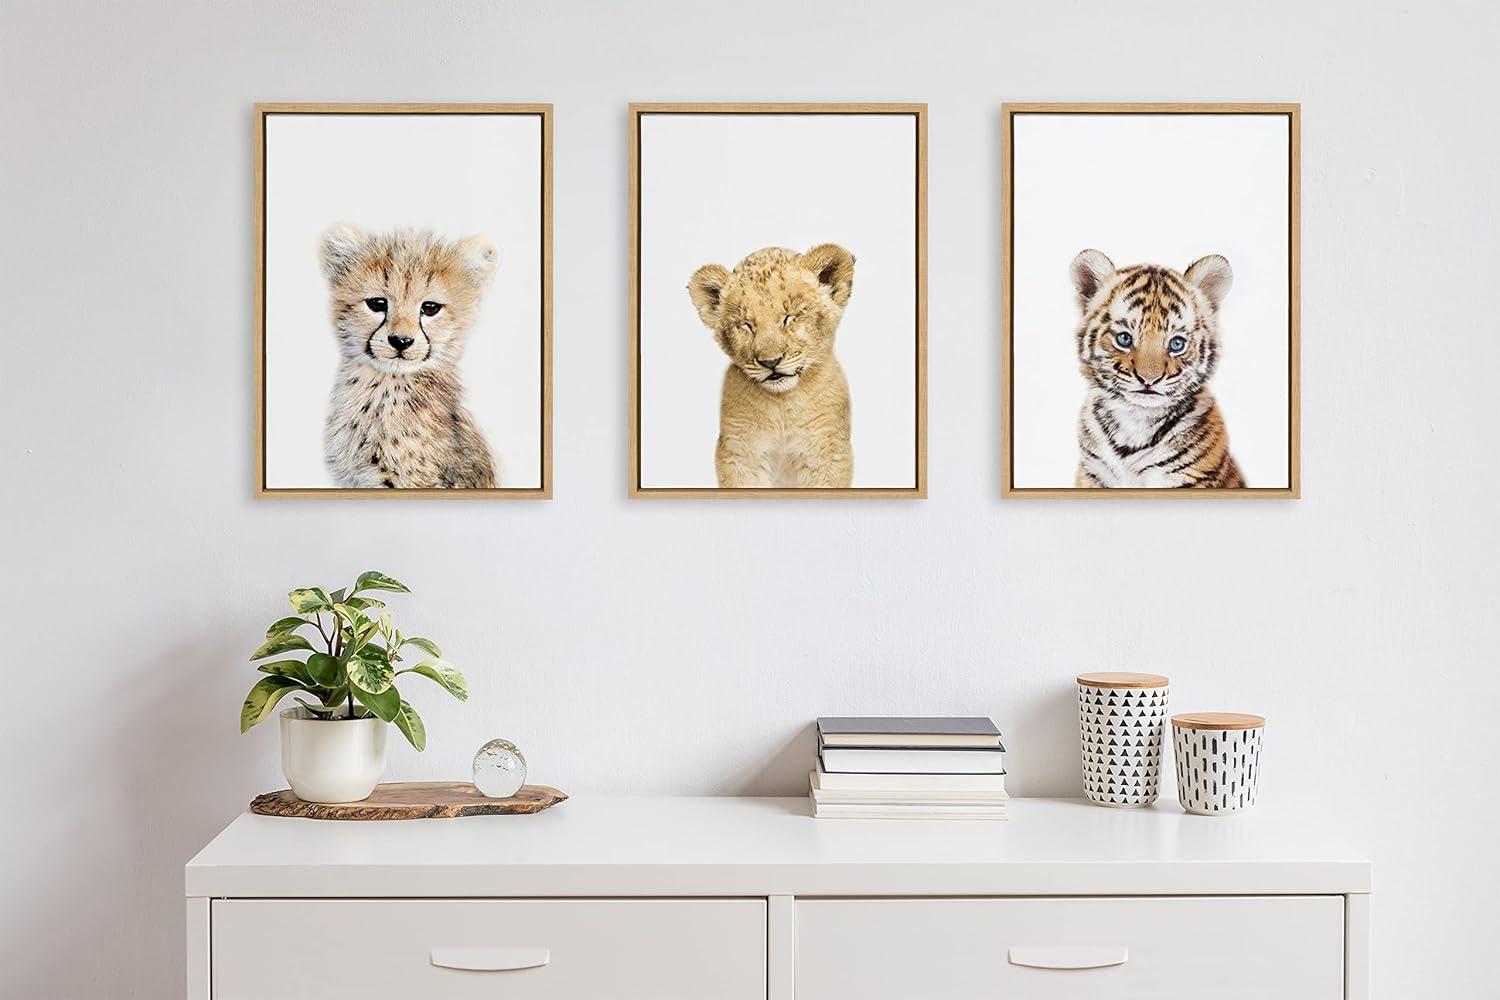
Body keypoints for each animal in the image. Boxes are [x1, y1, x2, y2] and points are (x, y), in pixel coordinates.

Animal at [687, 244, 856, 488]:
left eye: (790, 317)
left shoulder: (826, 453)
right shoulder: (740, 455)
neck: (782, 403)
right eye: (746, 325)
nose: (770, 361)